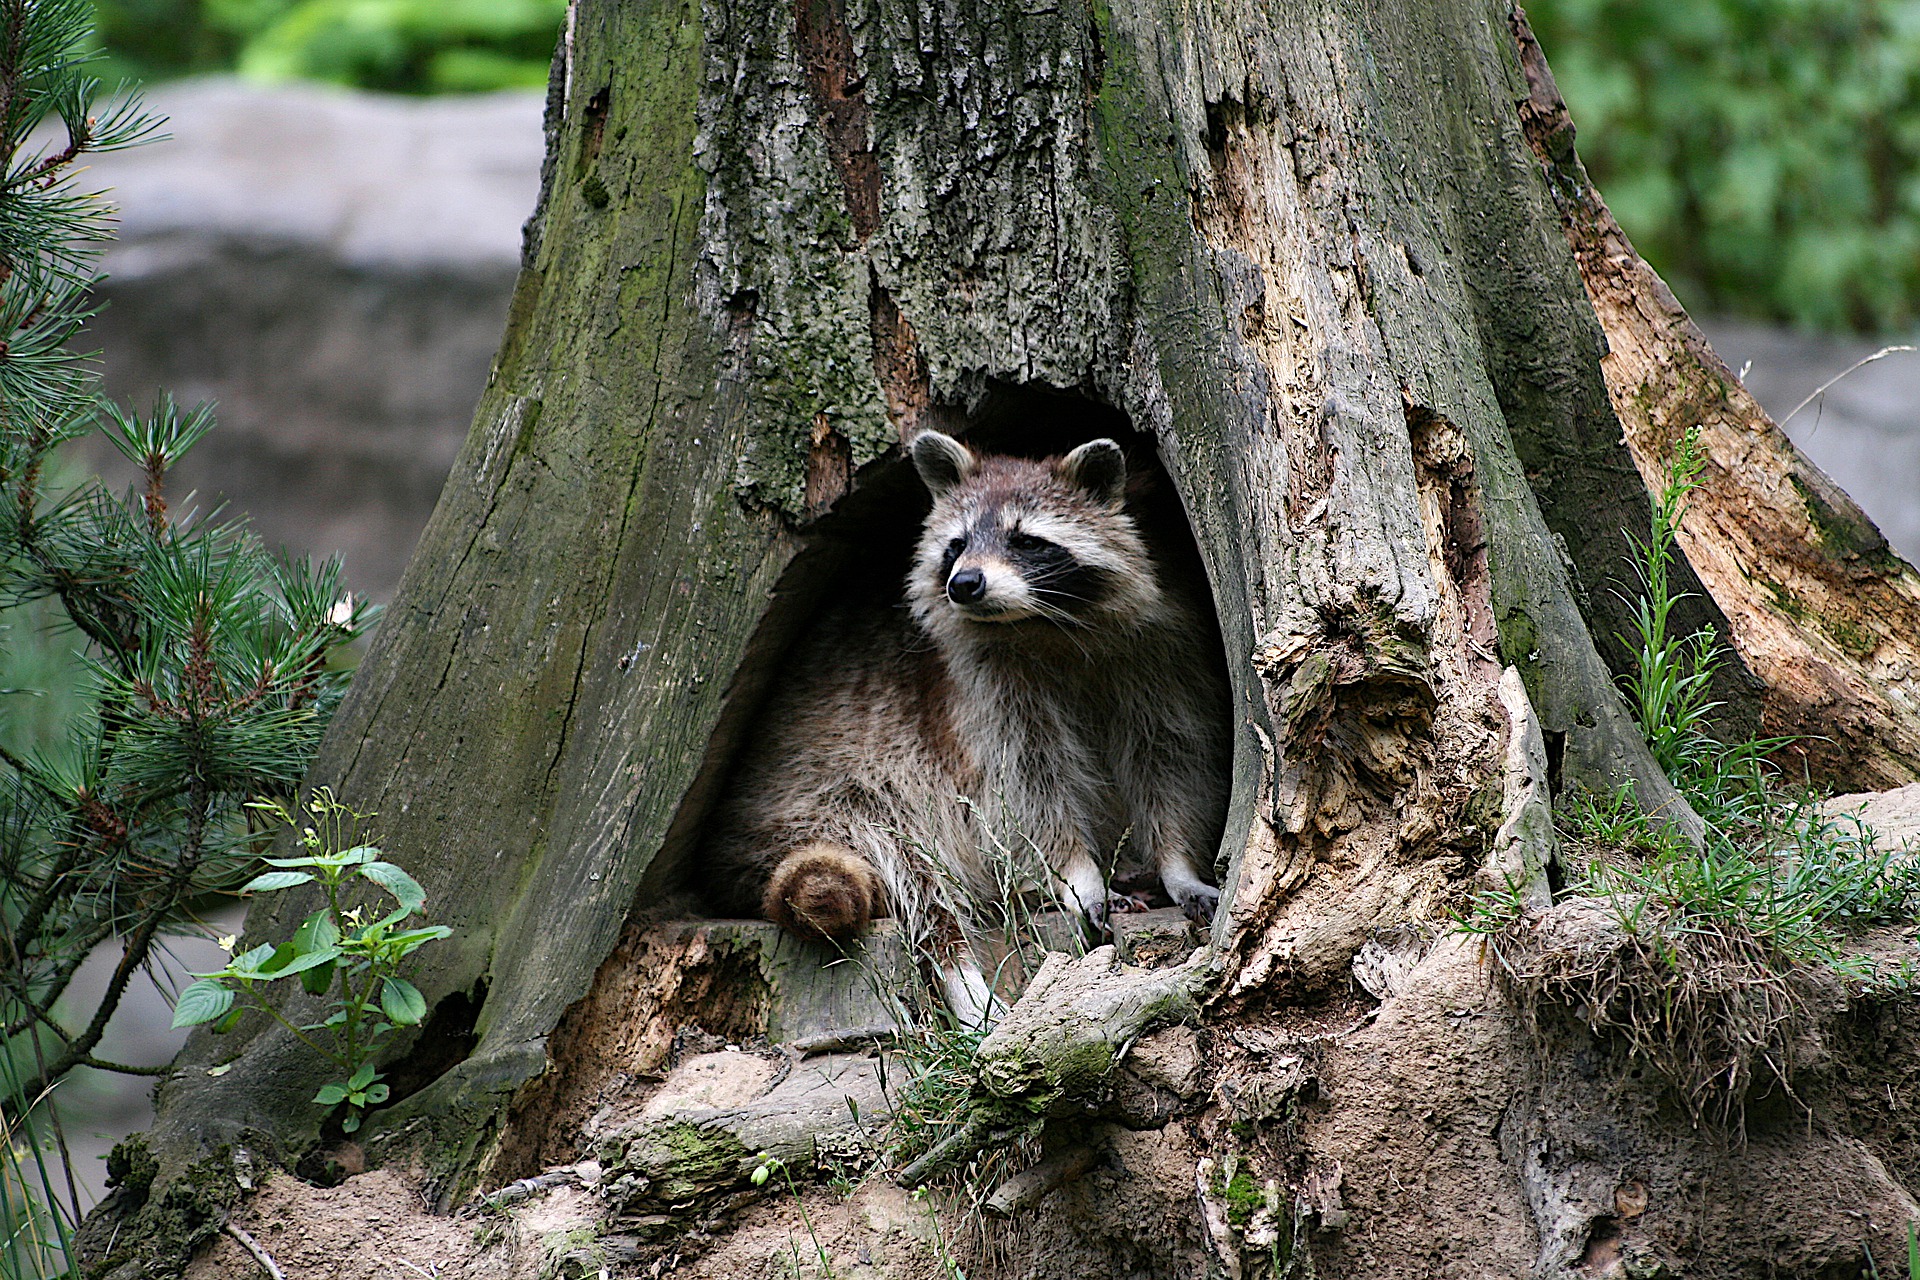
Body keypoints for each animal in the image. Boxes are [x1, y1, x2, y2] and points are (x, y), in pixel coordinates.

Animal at [706, 429, 1228, 1020]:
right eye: (955, 545)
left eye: (1027, 541)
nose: (965, 584)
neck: (1048, 624)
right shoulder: (975, 691)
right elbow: (1025, 787)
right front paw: (1077, 872)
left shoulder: (1162, 654)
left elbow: (1169, 754)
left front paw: (1177, 864)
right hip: (838, 795)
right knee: (916, 874)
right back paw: (966, 975)